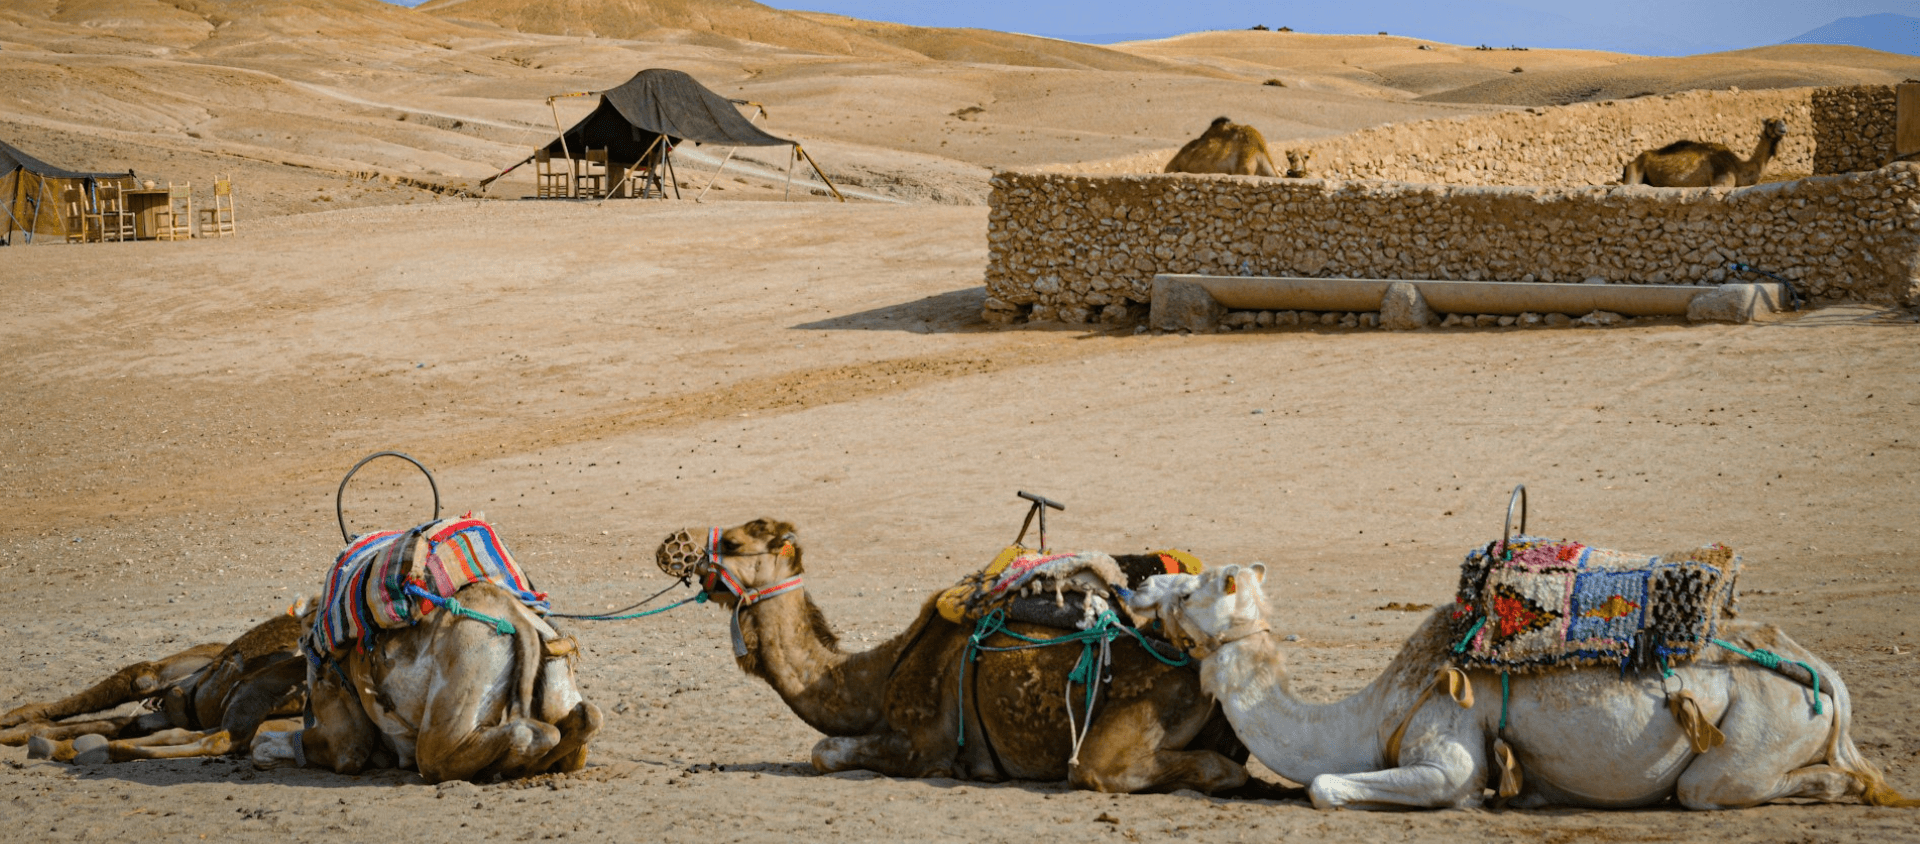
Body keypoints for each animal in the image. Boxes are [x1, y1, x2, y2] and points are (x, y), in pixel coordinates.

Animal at [251, 581, 600, 783]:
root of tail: (514, 617)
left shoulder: (345, 739)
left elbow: (269, 744)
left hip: (458, 685)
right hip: (555, 667)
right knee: (584, 719)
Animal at [679, 518, 1252, 793]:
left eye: (732, 542)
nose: (675, 549)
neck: (875, 678)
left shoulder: (923, 744)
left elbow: (825, 752)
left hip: (1148, 707)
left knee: (1104, 770)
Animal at [1129, 564, 1917, 810]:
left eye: (1195, 587)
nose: (1140, 585)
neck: (1367, 712)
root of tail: (1828, 680)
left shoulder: (1449, 742)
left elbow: (1327, 785)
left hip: (1756, 727)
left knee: (1713, 787)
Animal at [1622, 118, 1788, 187]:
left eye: (1784, 120)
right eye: (1770, 123)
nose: (1783, 127)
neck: (1738, 166)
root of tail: (1631, 161)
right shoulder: (1722, 178)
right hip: (1635, 171)